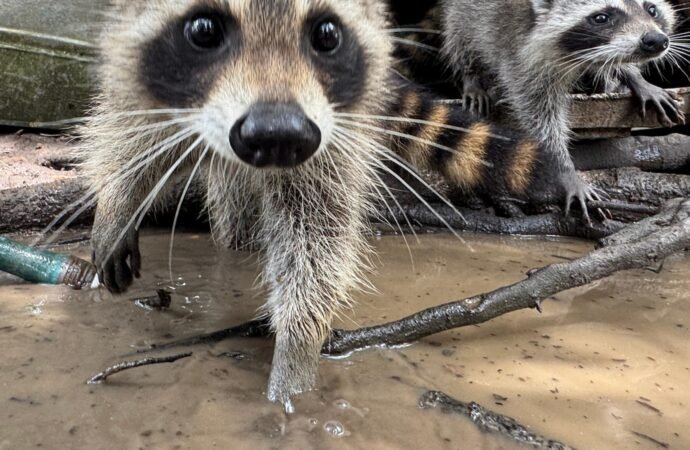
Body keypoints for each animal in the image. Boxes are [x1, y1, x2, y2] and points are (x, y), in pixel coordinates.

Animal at [82, 0, 562, 411]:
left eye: (327, 35)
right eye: (203, 31)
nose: (276, 135)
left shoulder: (329, 130)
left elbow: (318, 229)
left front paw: (296, 349)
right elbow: (129, 132)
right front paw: (116, 206)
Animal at [441, 0, 684, 216]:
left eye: (651, 9)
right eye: (601, 18)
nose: (656, 40)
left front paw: (634, 77)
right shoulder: (520, 53)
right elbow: (539, 116)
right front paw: (564, 169)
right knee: (461, 35)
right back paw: (471, 78)